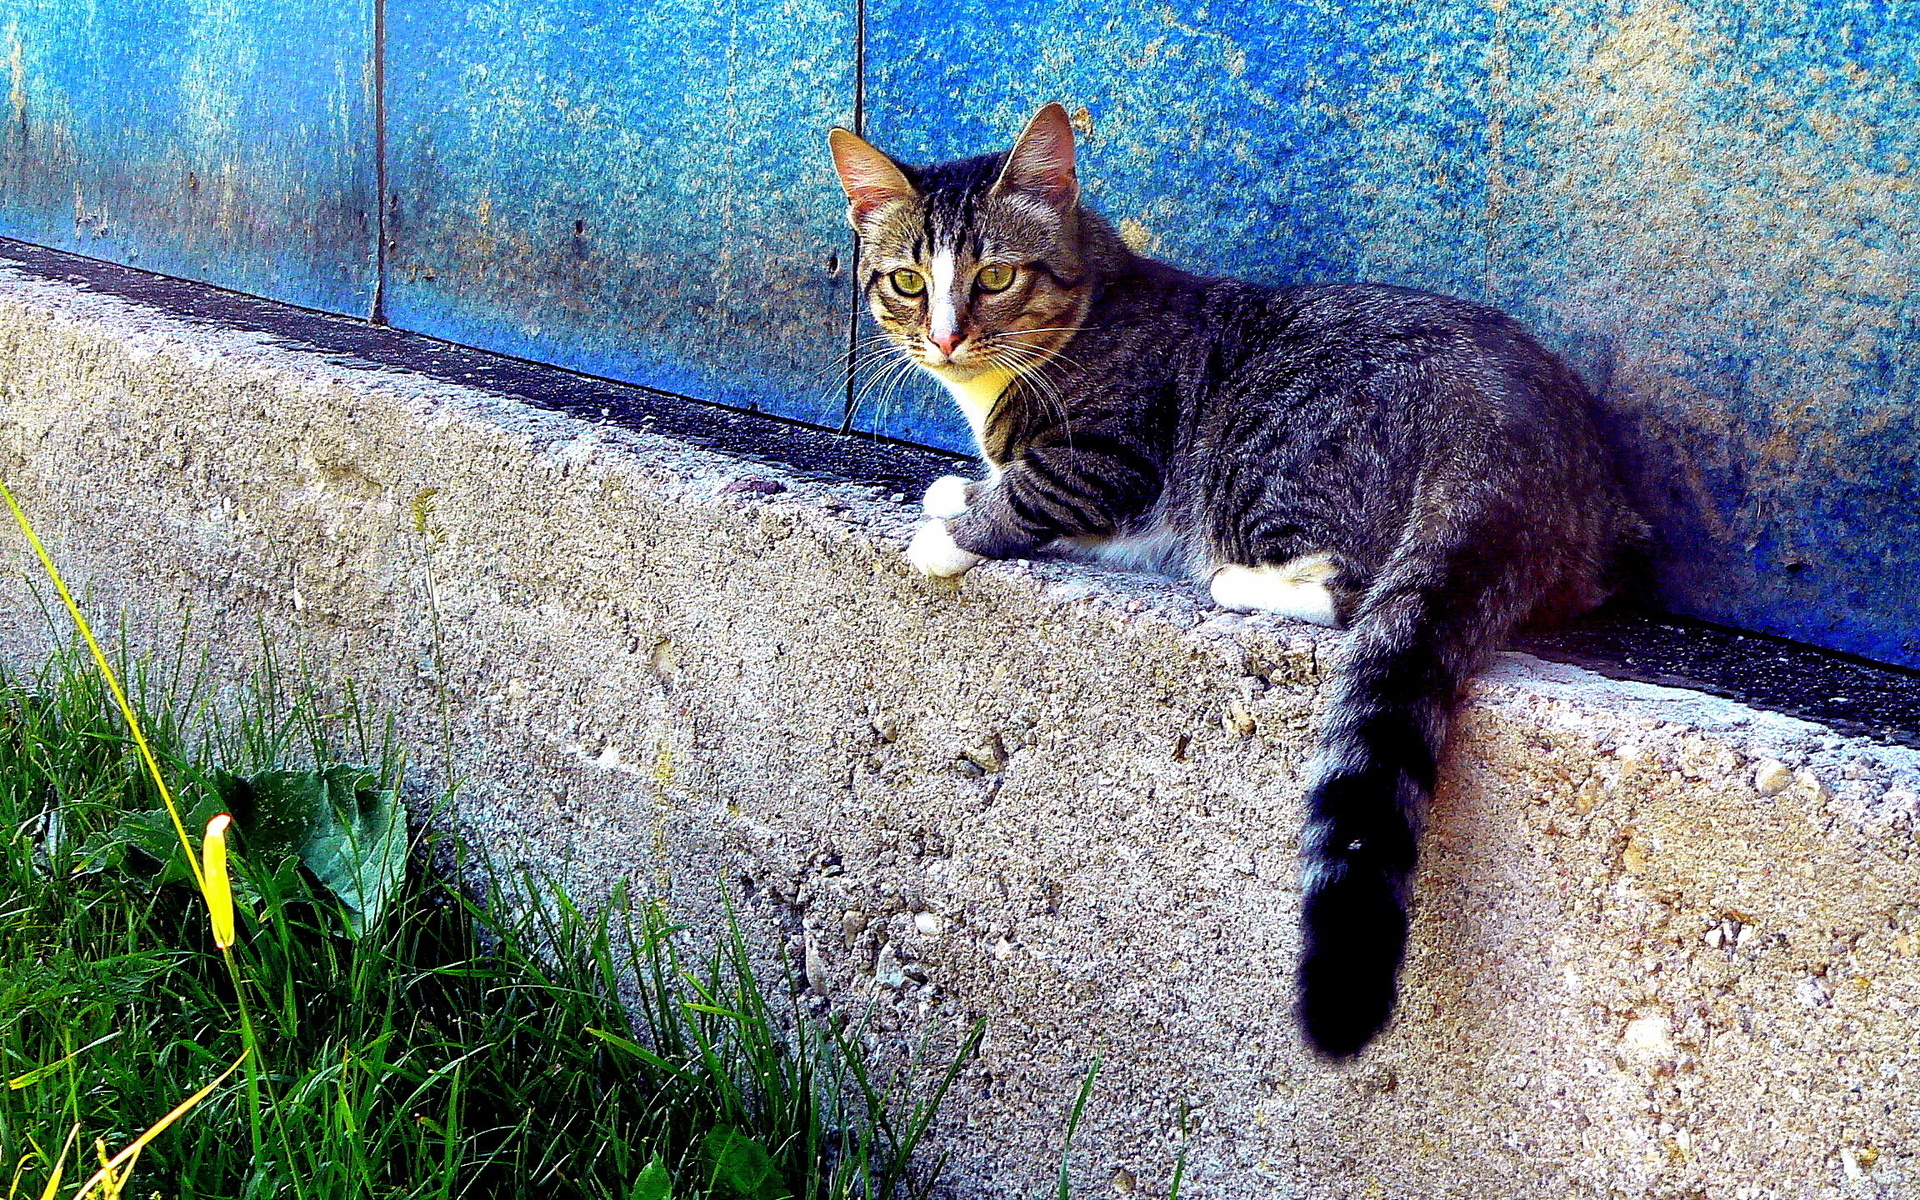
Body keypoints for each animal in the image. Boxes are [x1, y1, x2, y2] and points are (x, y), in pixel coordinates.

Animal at [825, 105, 1651, 1059]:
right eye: (907, 283)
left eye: (995, 276)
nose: (947, 337)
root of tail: (1512, 433)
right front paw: (956, 486)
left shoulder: (1113, 461)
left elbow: (1031, 490)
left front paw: (953, 533)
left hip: (1275, 459)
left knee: (1352, 591)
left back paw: (1236, 579)